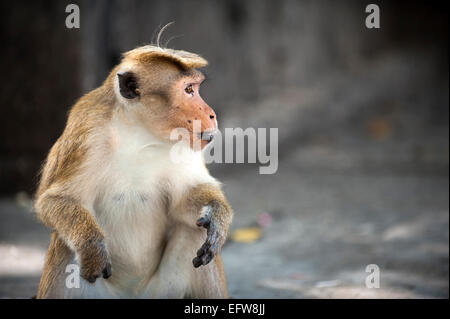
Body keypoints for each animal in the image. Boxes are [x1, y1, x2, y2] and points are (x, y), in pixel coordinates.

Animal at [34, 45, 232, 300]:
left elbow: (184, 200)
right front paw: (91, 247)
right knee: (64, 244)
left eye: (195, 88)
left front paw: (217, 216)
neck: (138, 132)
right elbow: (55, 199)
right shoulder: (86, 130)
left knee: (194, 231)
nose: (212, 114)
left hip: (162, 290)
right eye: (188, 90)